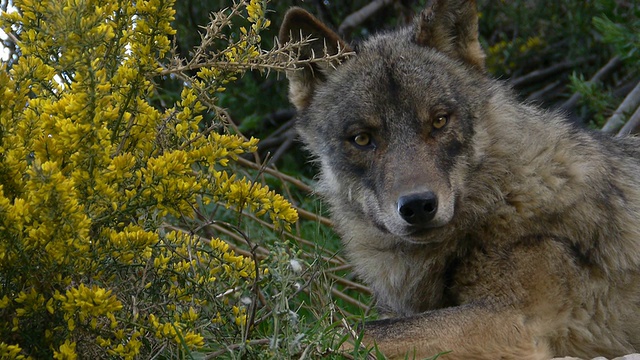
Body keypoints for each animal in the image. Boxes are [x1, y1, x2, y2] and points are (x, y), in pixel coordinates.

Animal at [278, 1, 640, 358]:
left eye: (439, 121)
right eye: (363, 139)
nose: (418, 206)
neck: (499, 198)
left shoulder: (511, 322)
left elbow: (349, 332)